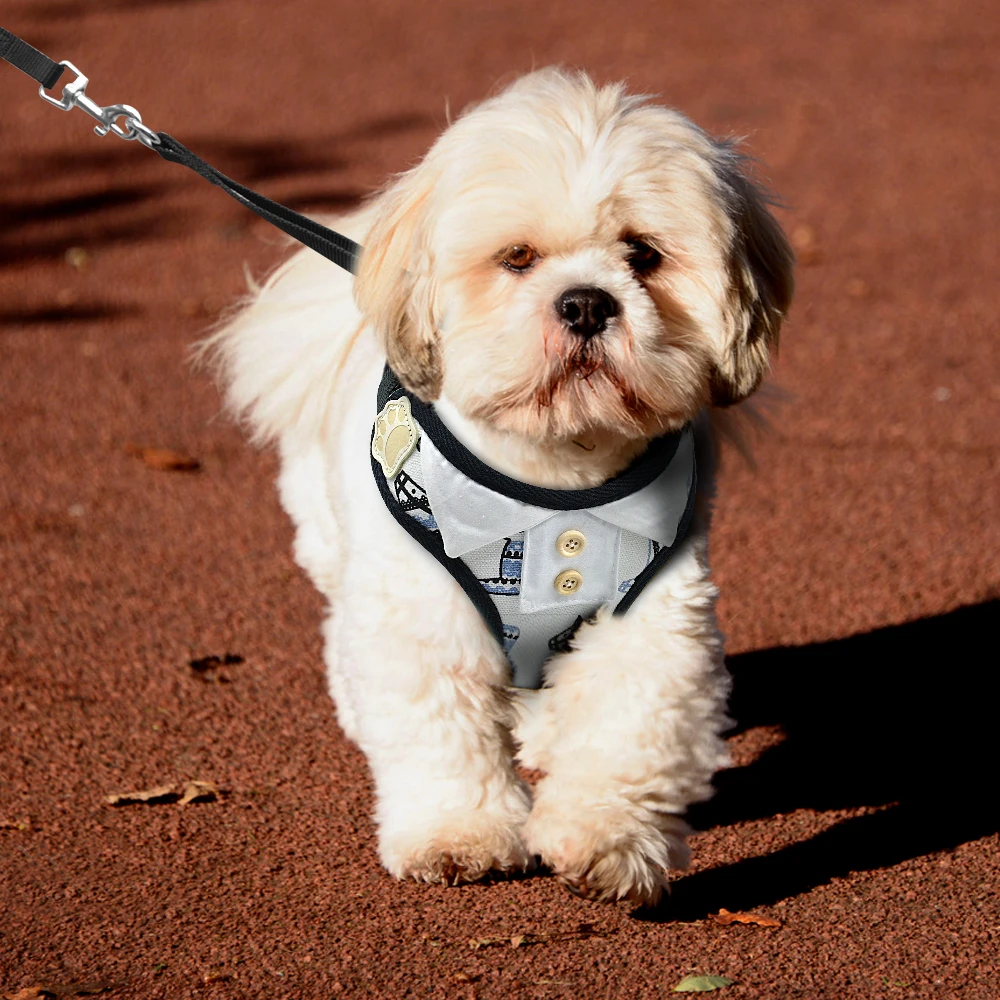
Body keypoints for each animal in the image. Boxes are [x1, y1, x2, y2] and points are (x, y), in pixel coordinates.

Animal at [209, 66, 788, 904]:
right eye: (517, 258)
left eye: (642, 255)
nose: (586, 301)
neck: (553, 476)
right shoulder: (424, 618)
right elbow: (440, 737)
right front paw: (460, 834)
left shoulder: (651, 617)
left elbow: (627, 731)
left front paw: (607, 841)